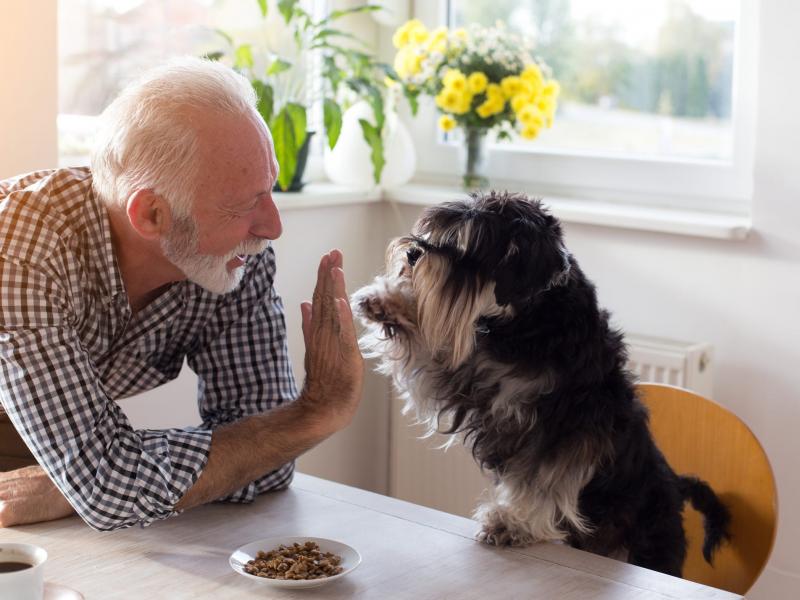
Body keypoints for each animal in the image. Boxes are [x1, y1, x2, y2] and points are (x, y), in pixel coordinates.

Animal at [354, 192, 728, 576]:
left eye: (470, 246)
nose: (413, 253)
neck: (530, 321)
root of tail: (675, 486)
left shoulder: (564, 429)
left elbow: (542, 481)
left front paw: (511, 523)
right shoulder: (469, 378)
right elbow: (430, 351)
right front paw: (387, 301)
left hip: (649, 546)